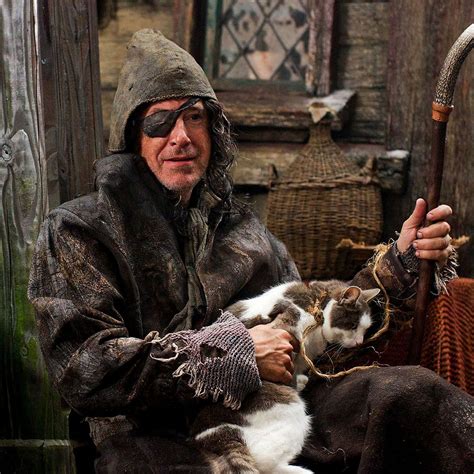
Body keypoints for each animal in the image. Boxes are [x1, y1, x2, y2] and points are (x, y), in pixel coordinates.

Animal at [191, 280, 380, 473]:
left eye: (365, 329)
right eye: (353, 326)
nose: (359, 343)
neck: (316, 305)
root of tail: (213, 435)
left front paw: (299, 380)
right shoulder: (286, 325)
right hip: (291, 416)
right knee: (267, 464)